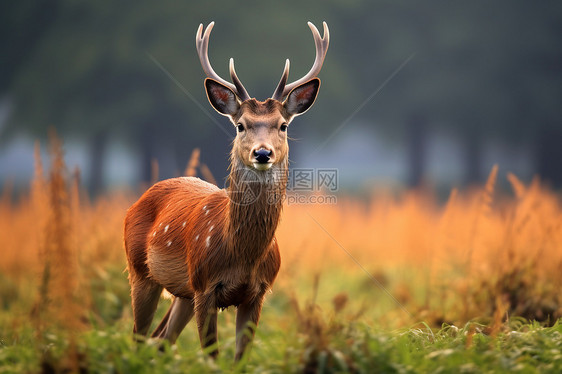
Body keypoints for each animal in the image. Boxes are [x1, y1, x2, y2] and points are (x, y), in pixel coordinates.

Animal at [120, 21, 326, 362]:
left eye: (283, 125)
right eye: (241, 125)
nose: (262, 153)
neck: (243, 255)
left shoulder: (258, 292)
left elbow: (240, 358)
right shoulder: (205, 286)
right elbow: (212, 356)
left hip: (182, 292)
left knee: (161, 339)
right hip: (140, 271)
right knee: (138, 337)